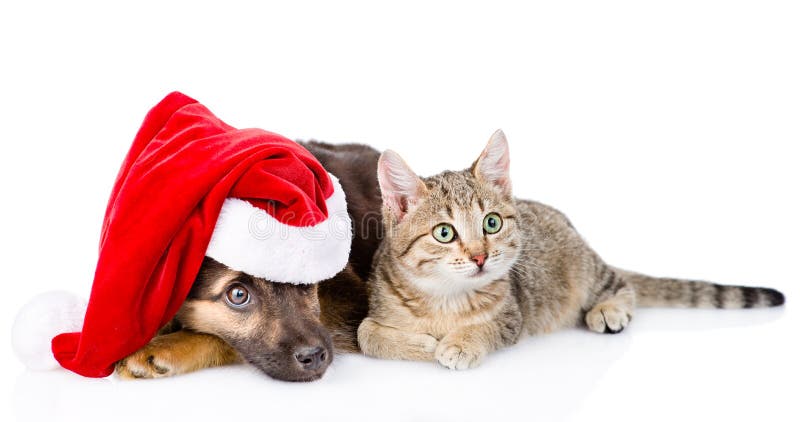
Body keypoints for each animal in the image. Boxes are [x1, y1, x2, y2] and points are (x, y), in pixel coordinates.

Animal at [354, 129, 780, 370]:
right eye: (444, 233)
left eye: (491, 223)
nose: (480, 257)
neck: (444, 299)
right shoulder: (377, 298)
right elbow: (365, 333)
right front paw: (421, 343)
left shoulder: (514, 315)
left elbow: (489, 327)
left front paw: (461, 343)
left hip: (586, 272)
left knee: (623, 284)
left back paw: (609, 310)